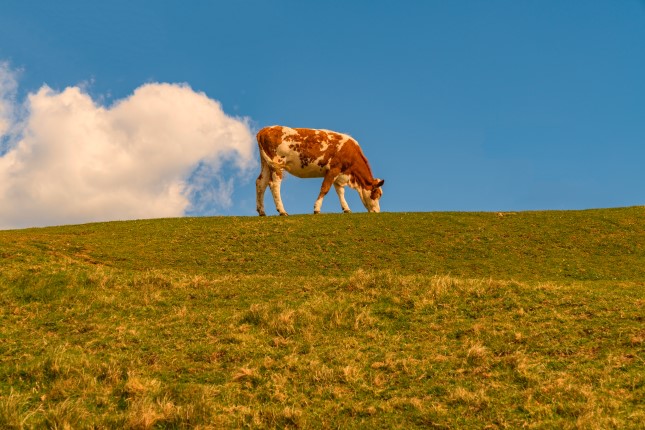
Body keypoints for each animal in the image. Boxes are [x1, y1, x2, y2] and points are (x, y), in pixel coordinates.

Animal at [254, 126, 382, 217]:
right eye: (377, 194)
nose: (377, 211)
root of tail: (265, 129)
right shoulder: (333, 169)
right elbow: (325, 189)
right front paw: (316, 209)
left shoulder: (339, 174)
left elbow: (340, 192)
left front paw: (346, 209)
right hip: (277, 163)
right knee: (274, 184)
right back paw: (282, 211)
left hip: (266, 164)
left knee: (261, 183)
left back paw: (262, 212)